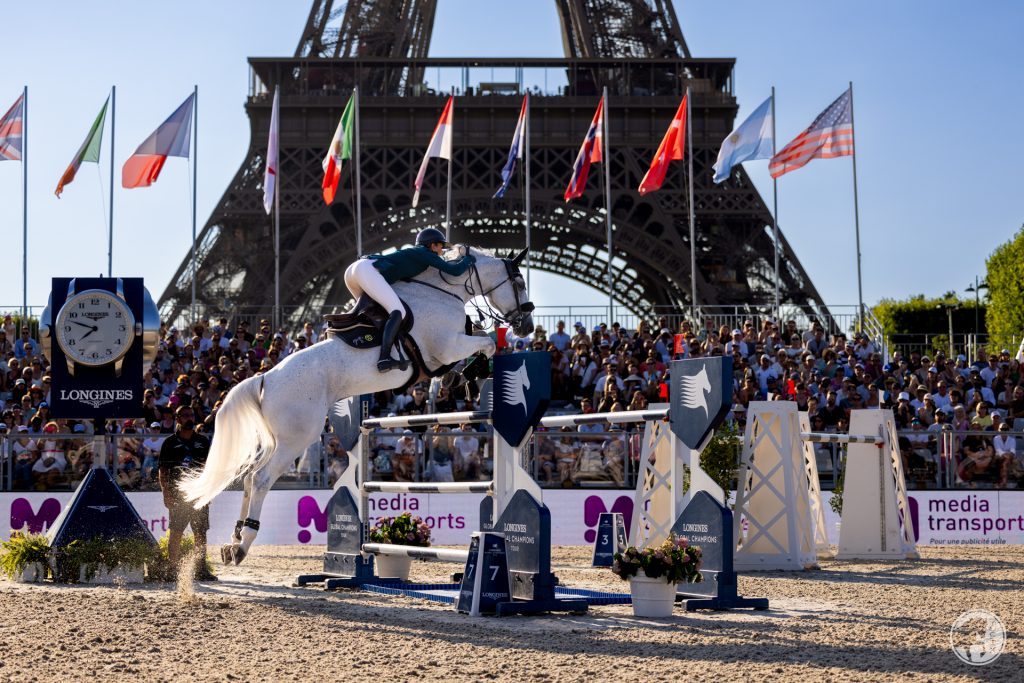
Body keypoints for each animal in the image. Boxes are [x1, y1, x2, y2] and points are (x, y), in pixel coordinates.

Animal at [179, 245, 532, 565]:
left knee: (250, 478)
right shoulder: (447, 346)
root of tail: (264, 379)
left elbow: (478, 342)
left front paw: (458, 380)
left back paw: (233, 540)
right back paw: (243, 544)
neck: (444, 291)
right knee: (262, 479)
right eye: (519, 281)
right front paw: (466, 377)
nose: (526, 326)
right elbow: (486, 342)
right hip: (298, 438)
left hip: (278, 440)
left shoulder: (444, 352)